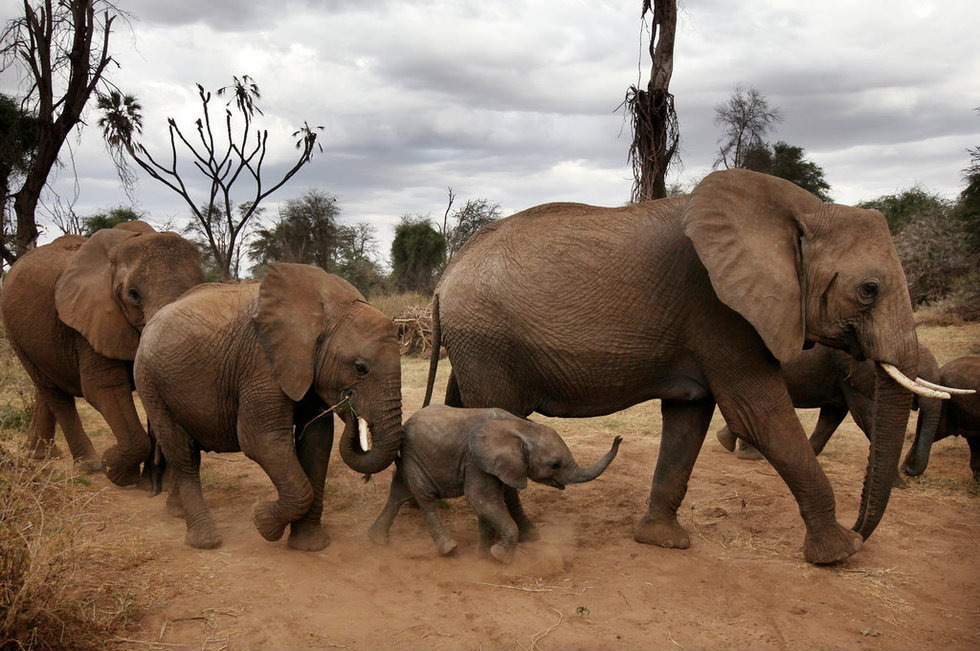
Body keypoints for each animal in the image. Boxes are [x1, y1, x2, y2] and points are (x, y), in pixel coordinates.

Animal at [0, 222, 204, 486]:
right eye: (133, 294)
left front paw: (158, 483)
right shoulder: (90, 321)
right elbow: (103, 387)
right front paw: (117, 472)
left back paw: (41, 455)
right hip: (14, 331)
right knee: (54, 392)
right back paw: (89, 465)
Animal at [134, 262, 402, 552]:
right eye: (360, 368)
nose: (350, 406)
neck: (326, 309)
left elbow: (316, 442)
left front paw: (309, 546)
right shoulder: (261, 362)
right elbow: (260, 440)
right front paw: (261, 521)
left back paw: (177, 512)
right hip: (149, 381)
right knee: (182, 451)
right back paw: (205, 540)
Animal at [368, 404, 620, 564]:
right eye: (555, 464)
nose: (618, 438)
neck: (520, 426)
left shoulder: (496, 464)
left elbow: (488, 503)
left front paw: (483, 555)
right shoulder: (475, 459)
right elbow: (480, 498)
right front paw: (500, 557)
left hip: (409, 458)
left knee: (399, 493)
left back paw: (377, 539)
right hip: (415, 458)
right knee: (425, 497)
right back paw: (449, 550)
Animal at [716, 342, 944, 474]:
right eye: (916, 375)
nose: (908, 469)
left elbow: (832, 416)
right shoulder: (851, 372)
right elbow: (865, 417)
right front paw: (898, 483)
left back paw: (728, 443)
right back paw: (748, 454)